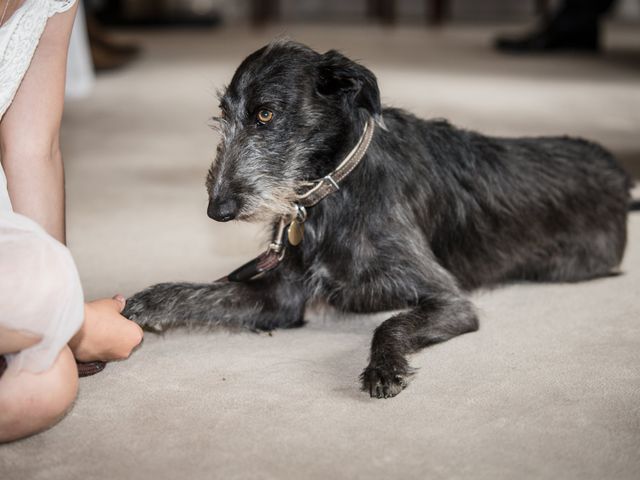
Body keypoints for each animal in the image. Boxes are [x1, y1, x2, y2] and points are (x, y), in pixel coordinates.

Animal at [122, 38, 632, 398]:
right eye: (222, 117)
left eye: (265, 114)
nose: (218, 209)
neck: (331, 186)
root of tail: (621, 180)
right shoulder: (278, 300)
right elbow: (203, 292)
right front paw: (147, 302)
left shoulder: (450, 301)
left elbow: (389, 324)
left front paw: (384, 369)